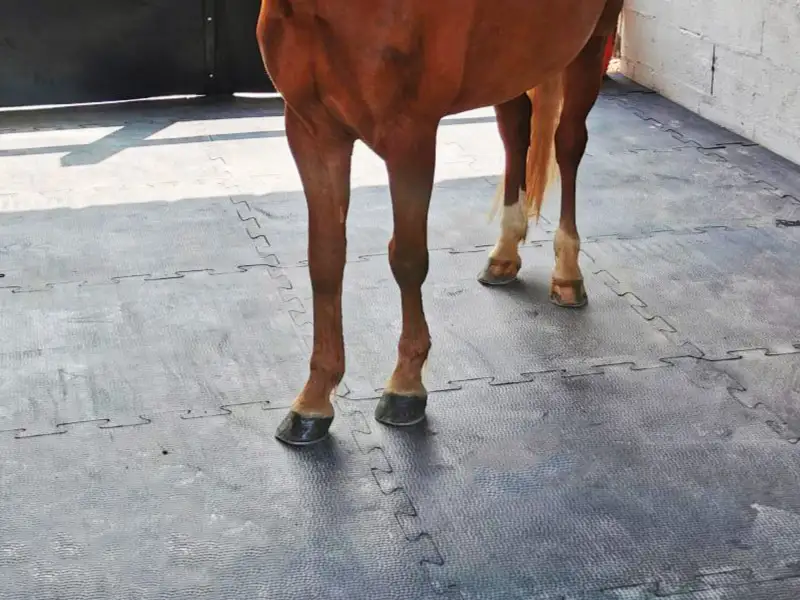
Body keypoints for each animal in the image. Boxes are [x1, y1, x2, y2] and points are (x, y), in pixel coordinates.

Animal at [256, 0, 624, 446]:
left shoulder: (410, 136)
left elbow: (407, 258)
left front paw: (405, 388)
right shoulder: (313, 132)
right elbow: (325, 262)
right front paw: (311, 403)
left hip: (592, 44)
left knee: (568, 144)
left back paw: (567, 275)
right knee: (515, 130)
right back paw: (503, 256)